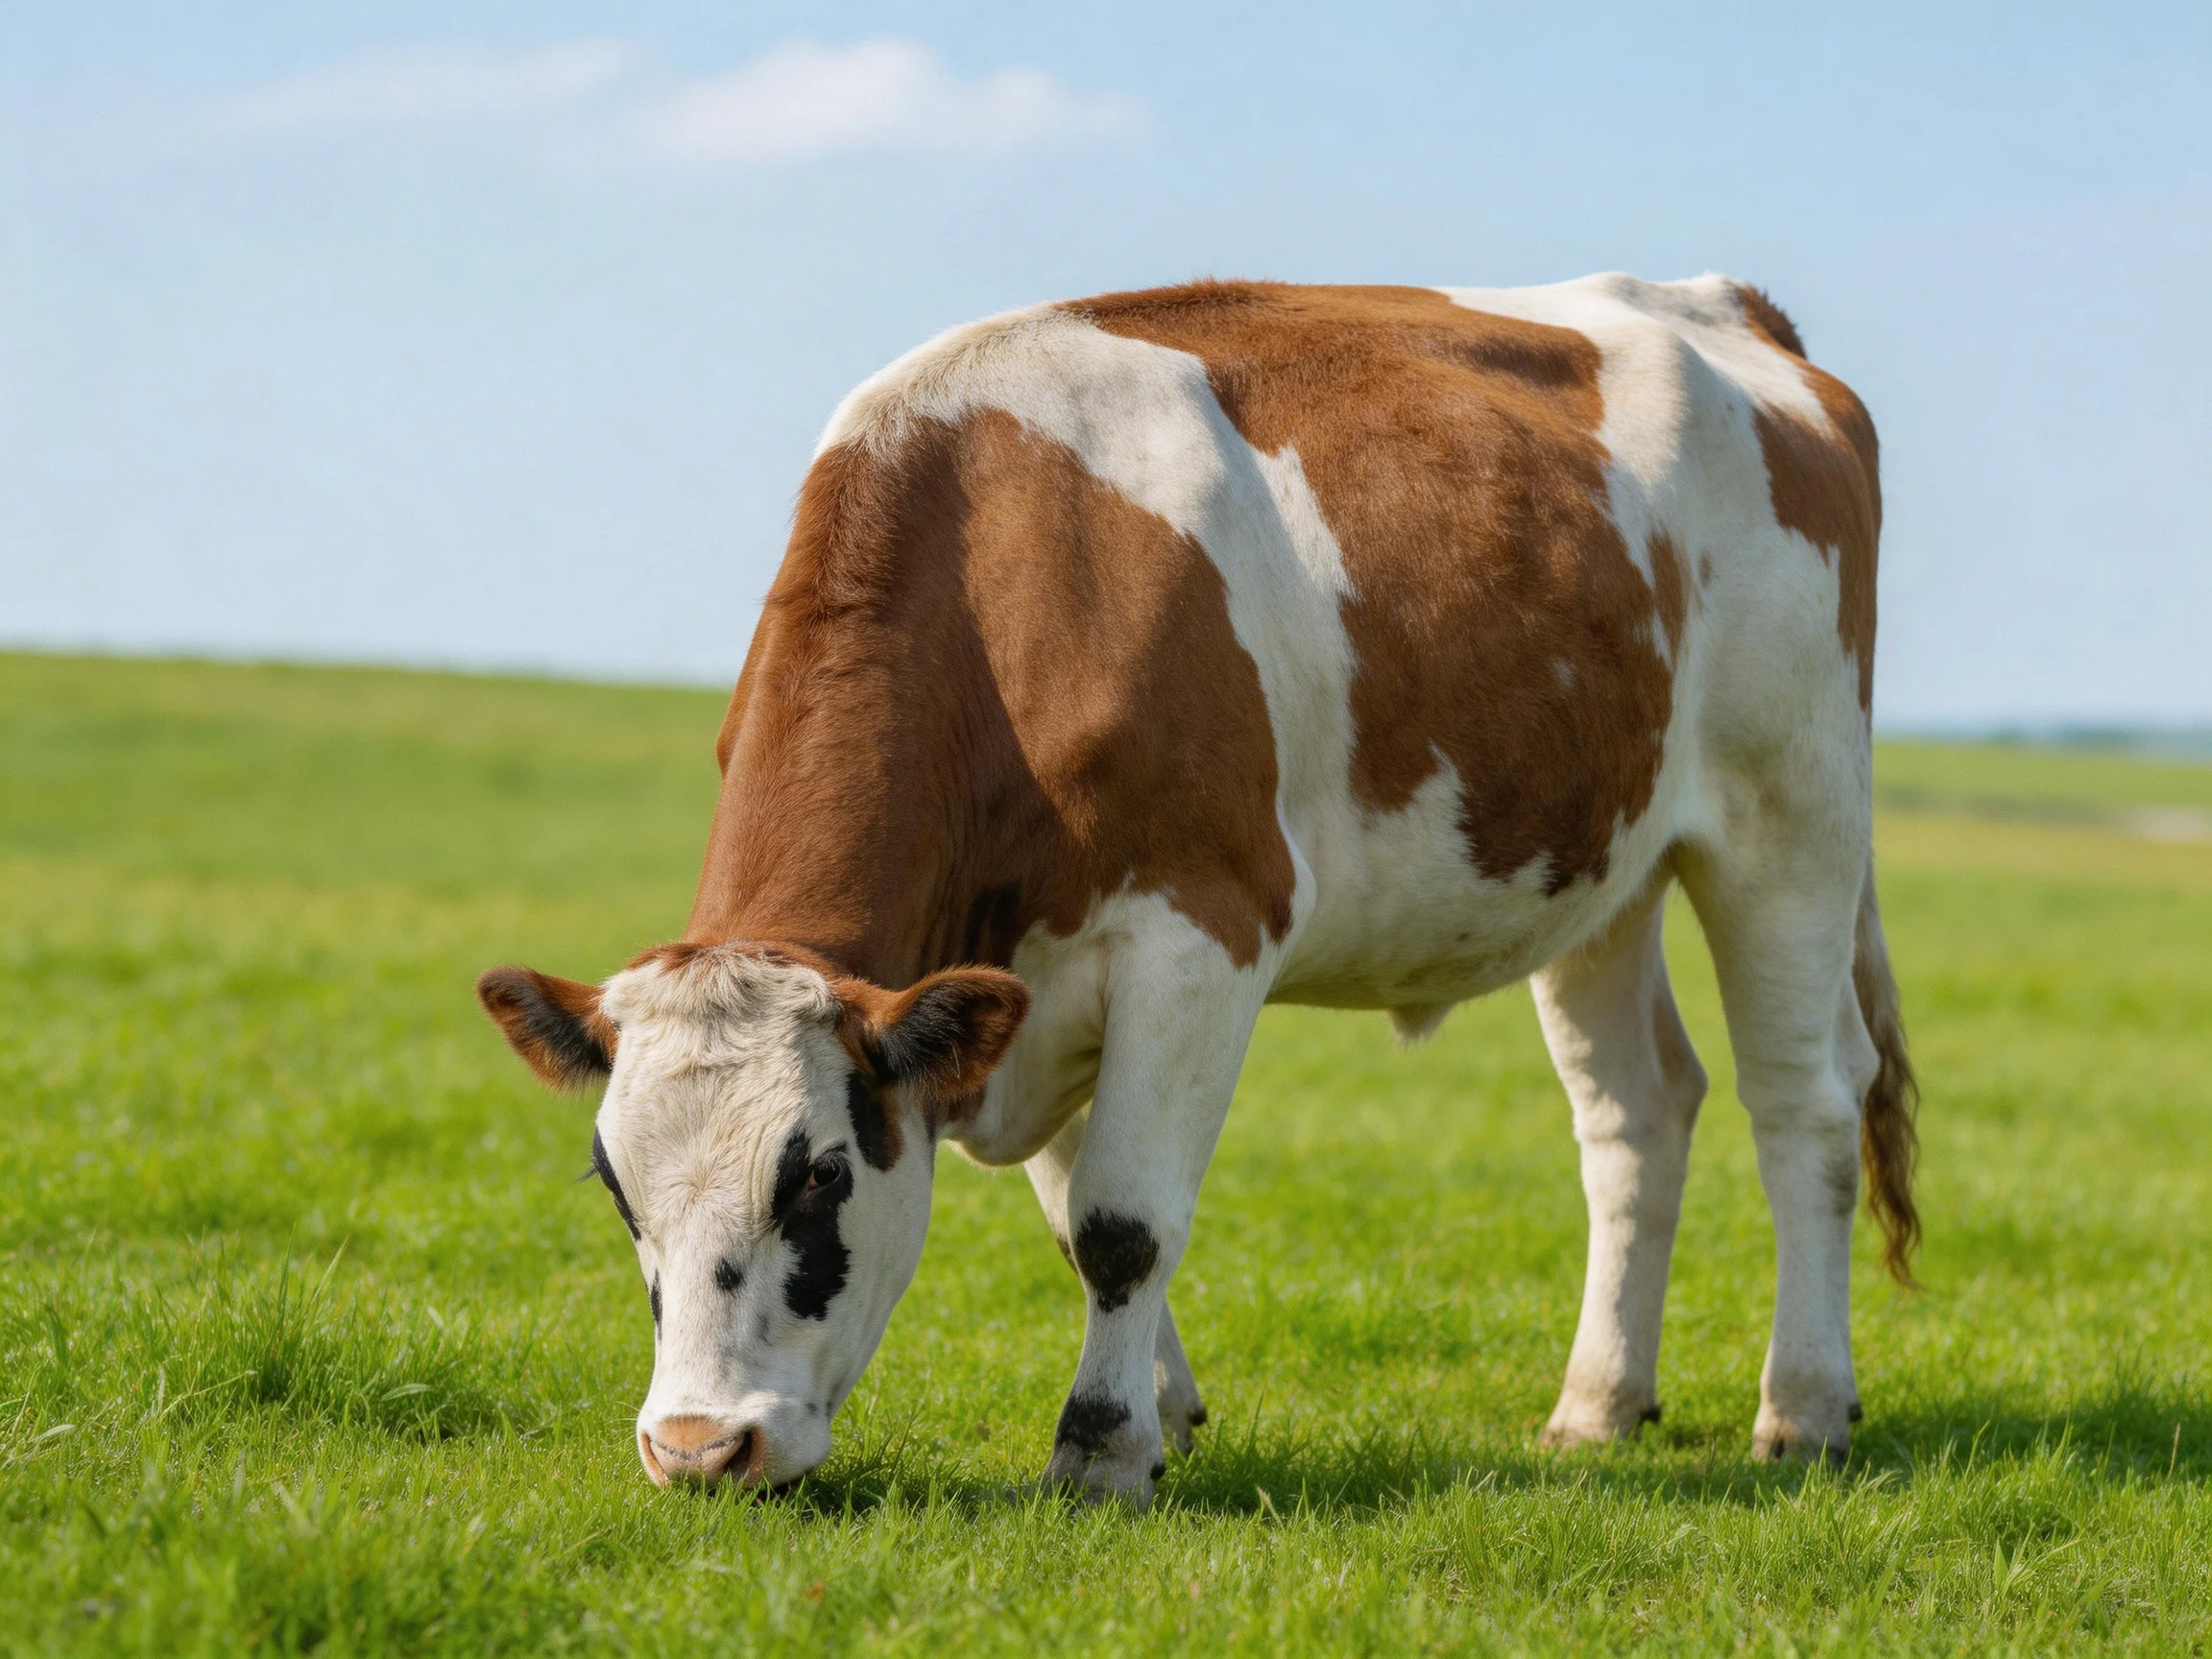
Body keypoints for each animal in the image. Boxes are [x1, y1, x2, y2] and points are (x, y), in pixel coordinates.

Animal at [477, 273, 1918, 1507]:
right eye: (615, 1186)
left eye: (820, 1175)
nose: (698, 1447)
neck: (1011, 580)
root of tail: (1724, 308)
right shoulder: (1021, 988)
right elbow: (1077, 1223)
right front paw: (1164, 1416)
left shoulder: (1200, 931)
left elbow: (1122, 1219)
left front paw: (1100, 1448)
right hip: (1598, 865)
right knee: (1638, 1112)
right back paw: (1598, 1406)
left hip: (1788, 817)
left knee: (1804, 1104)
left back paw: (1803, 1407)